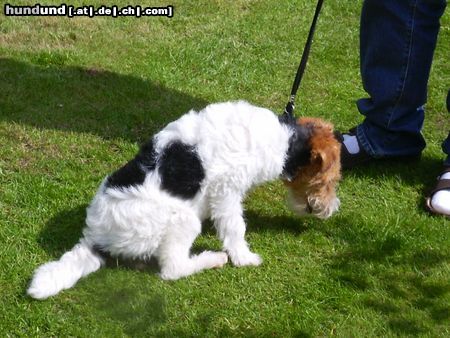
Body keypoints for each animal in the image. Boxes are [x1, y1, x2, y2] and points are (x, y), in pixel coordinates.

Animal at [28, 100, 342, 298]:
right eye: (329, 180)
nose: (330, 210)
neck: (283, 140)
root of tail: (95, 239)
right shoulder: (226, 191)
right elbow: (235, 228)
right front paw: (244, 258)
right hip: (183, 221)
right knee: (173, 269)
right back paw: (213, 259)